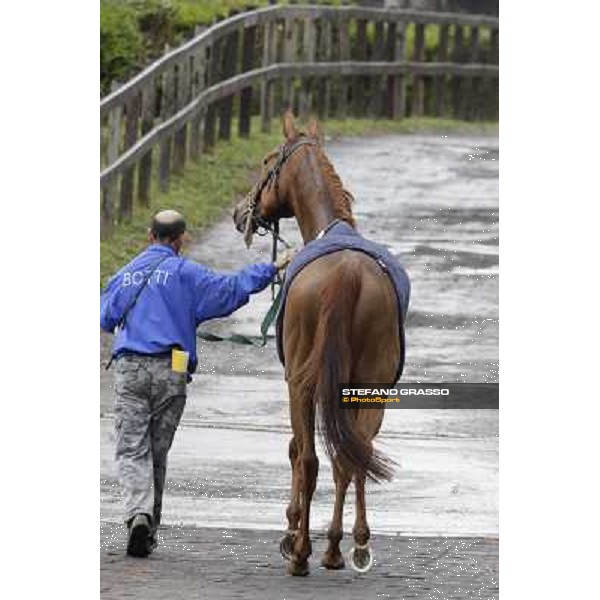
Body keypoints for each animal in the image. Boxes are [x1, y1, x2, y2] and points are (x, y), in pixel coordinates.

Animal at [232, 112, 400, 576]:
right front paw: (341, 544)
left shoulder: (295, 384)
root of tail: (348, 274)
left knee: (311, 459)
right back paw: (348, 546)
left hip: (303, 386)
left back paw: (303, 552)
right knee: (353, 457)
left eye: (268, 159)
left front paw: (291, 532)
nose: (240, 211)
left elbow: (296, 452)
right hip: (369, 389)